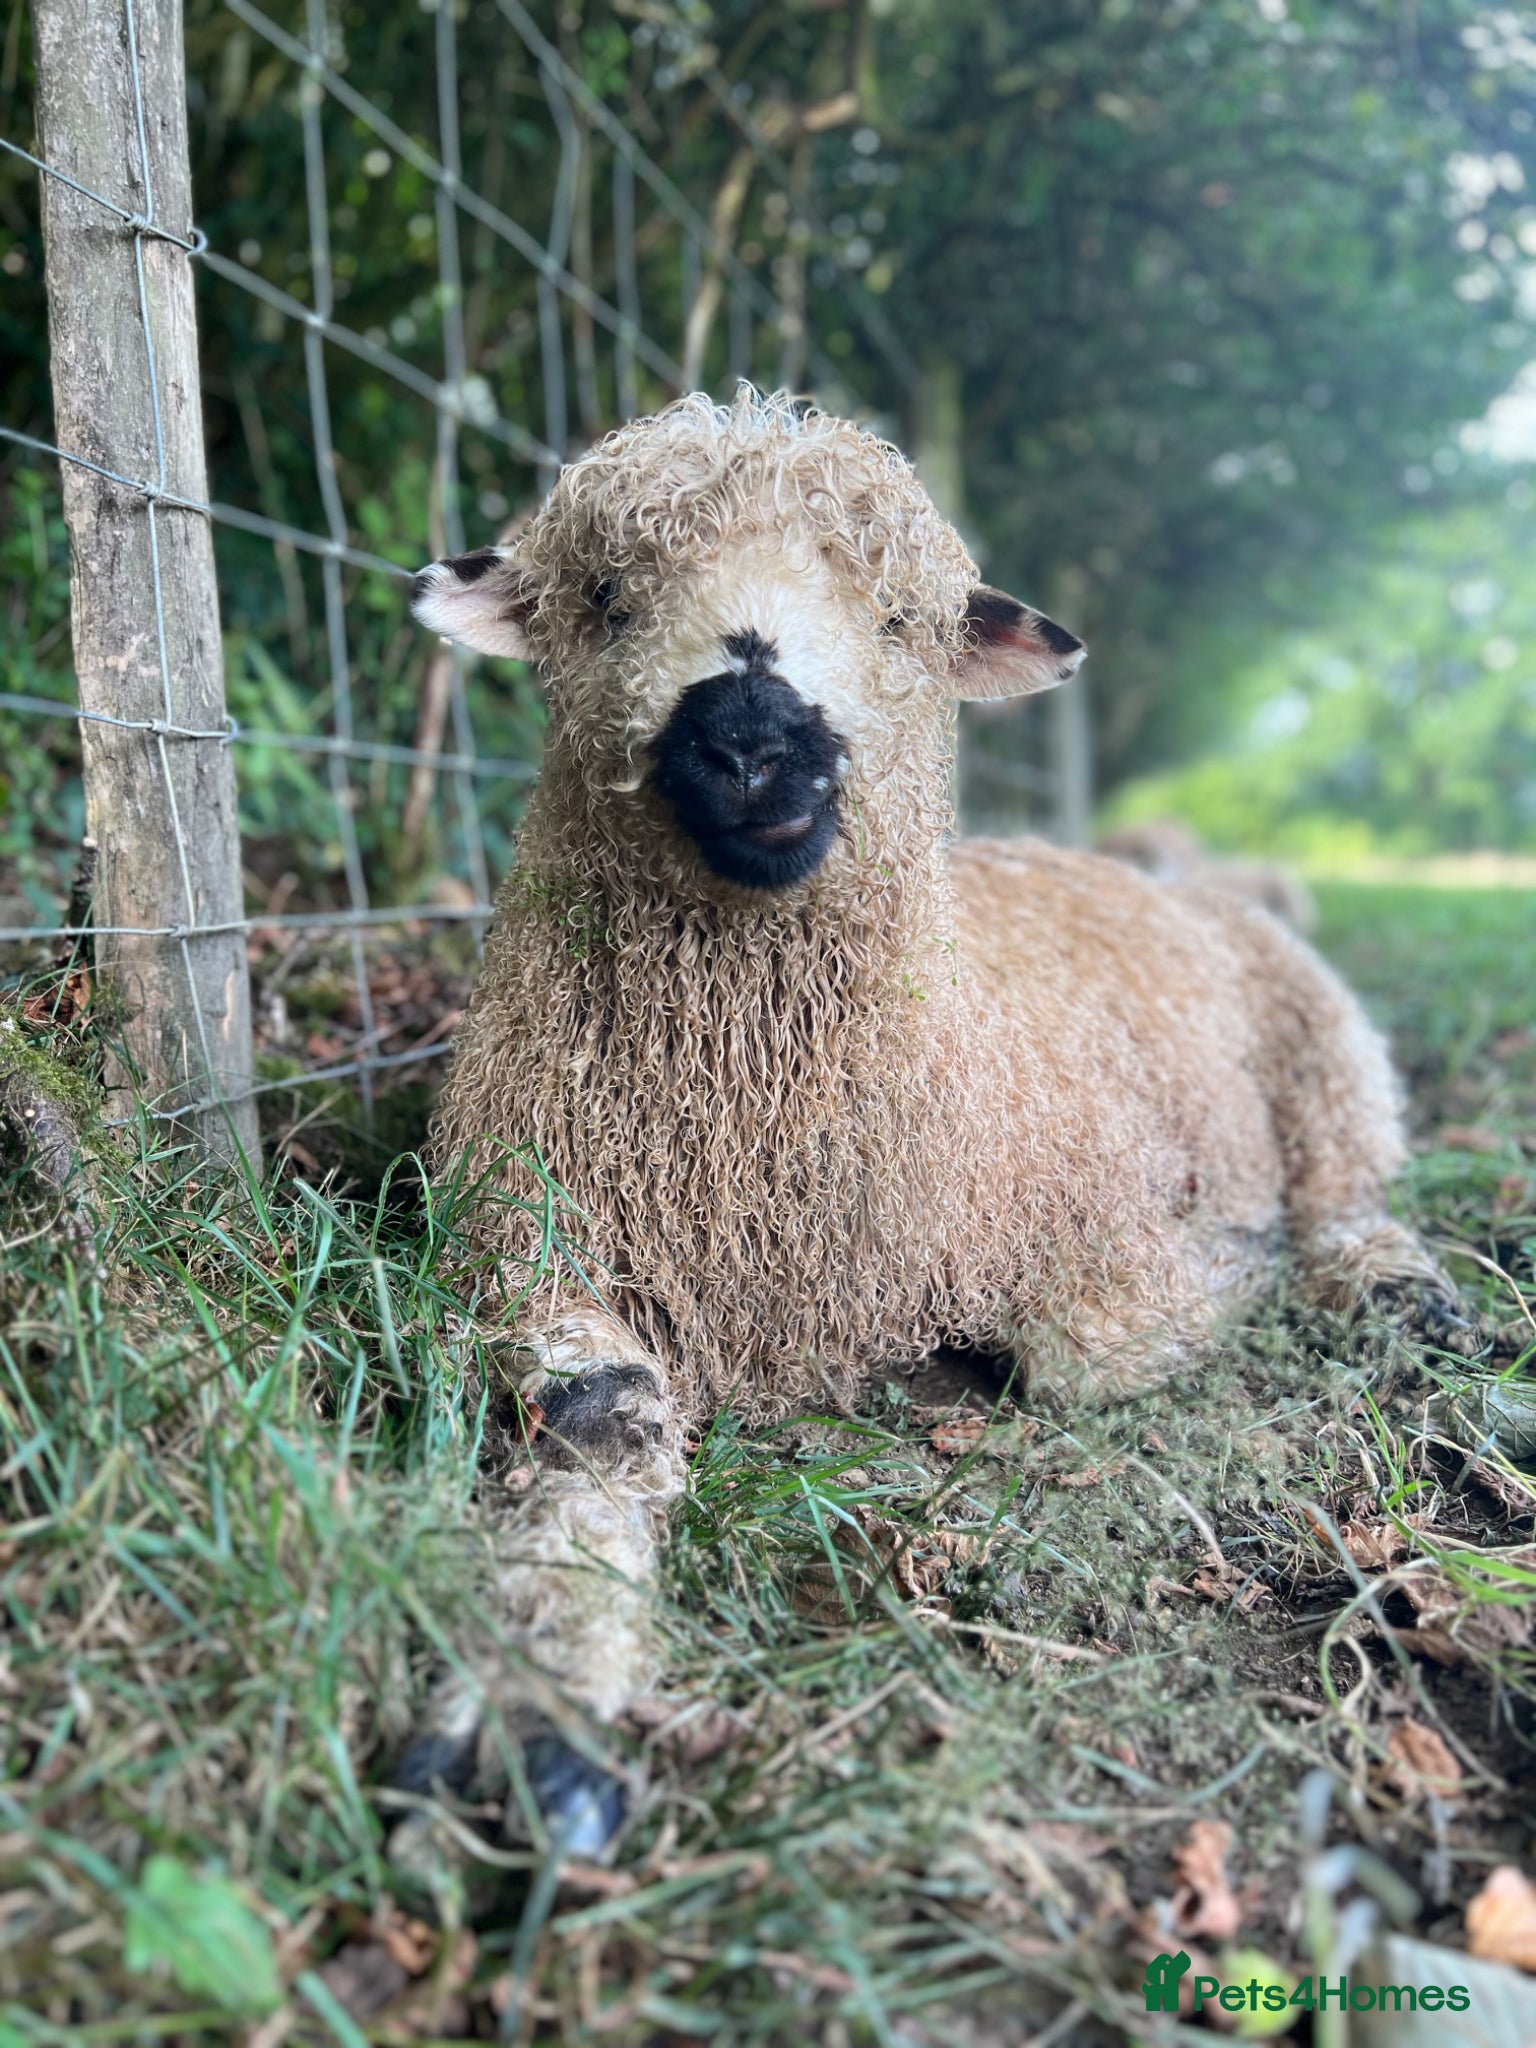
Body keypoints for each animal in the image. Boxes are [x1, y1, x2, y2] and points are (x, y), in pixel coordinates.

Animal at [396, 388, 1463, 1856]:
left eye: (901, 617)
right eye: (606, 599)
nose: (749, 735)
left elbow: (1085, 1349)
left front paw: (1236, 1269)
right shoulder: (517, 1238)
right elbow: (601, 1418)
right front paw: (538, 1697)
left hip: (1321, 1042)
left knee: (1350, 1183)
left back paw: (1385, 1281)